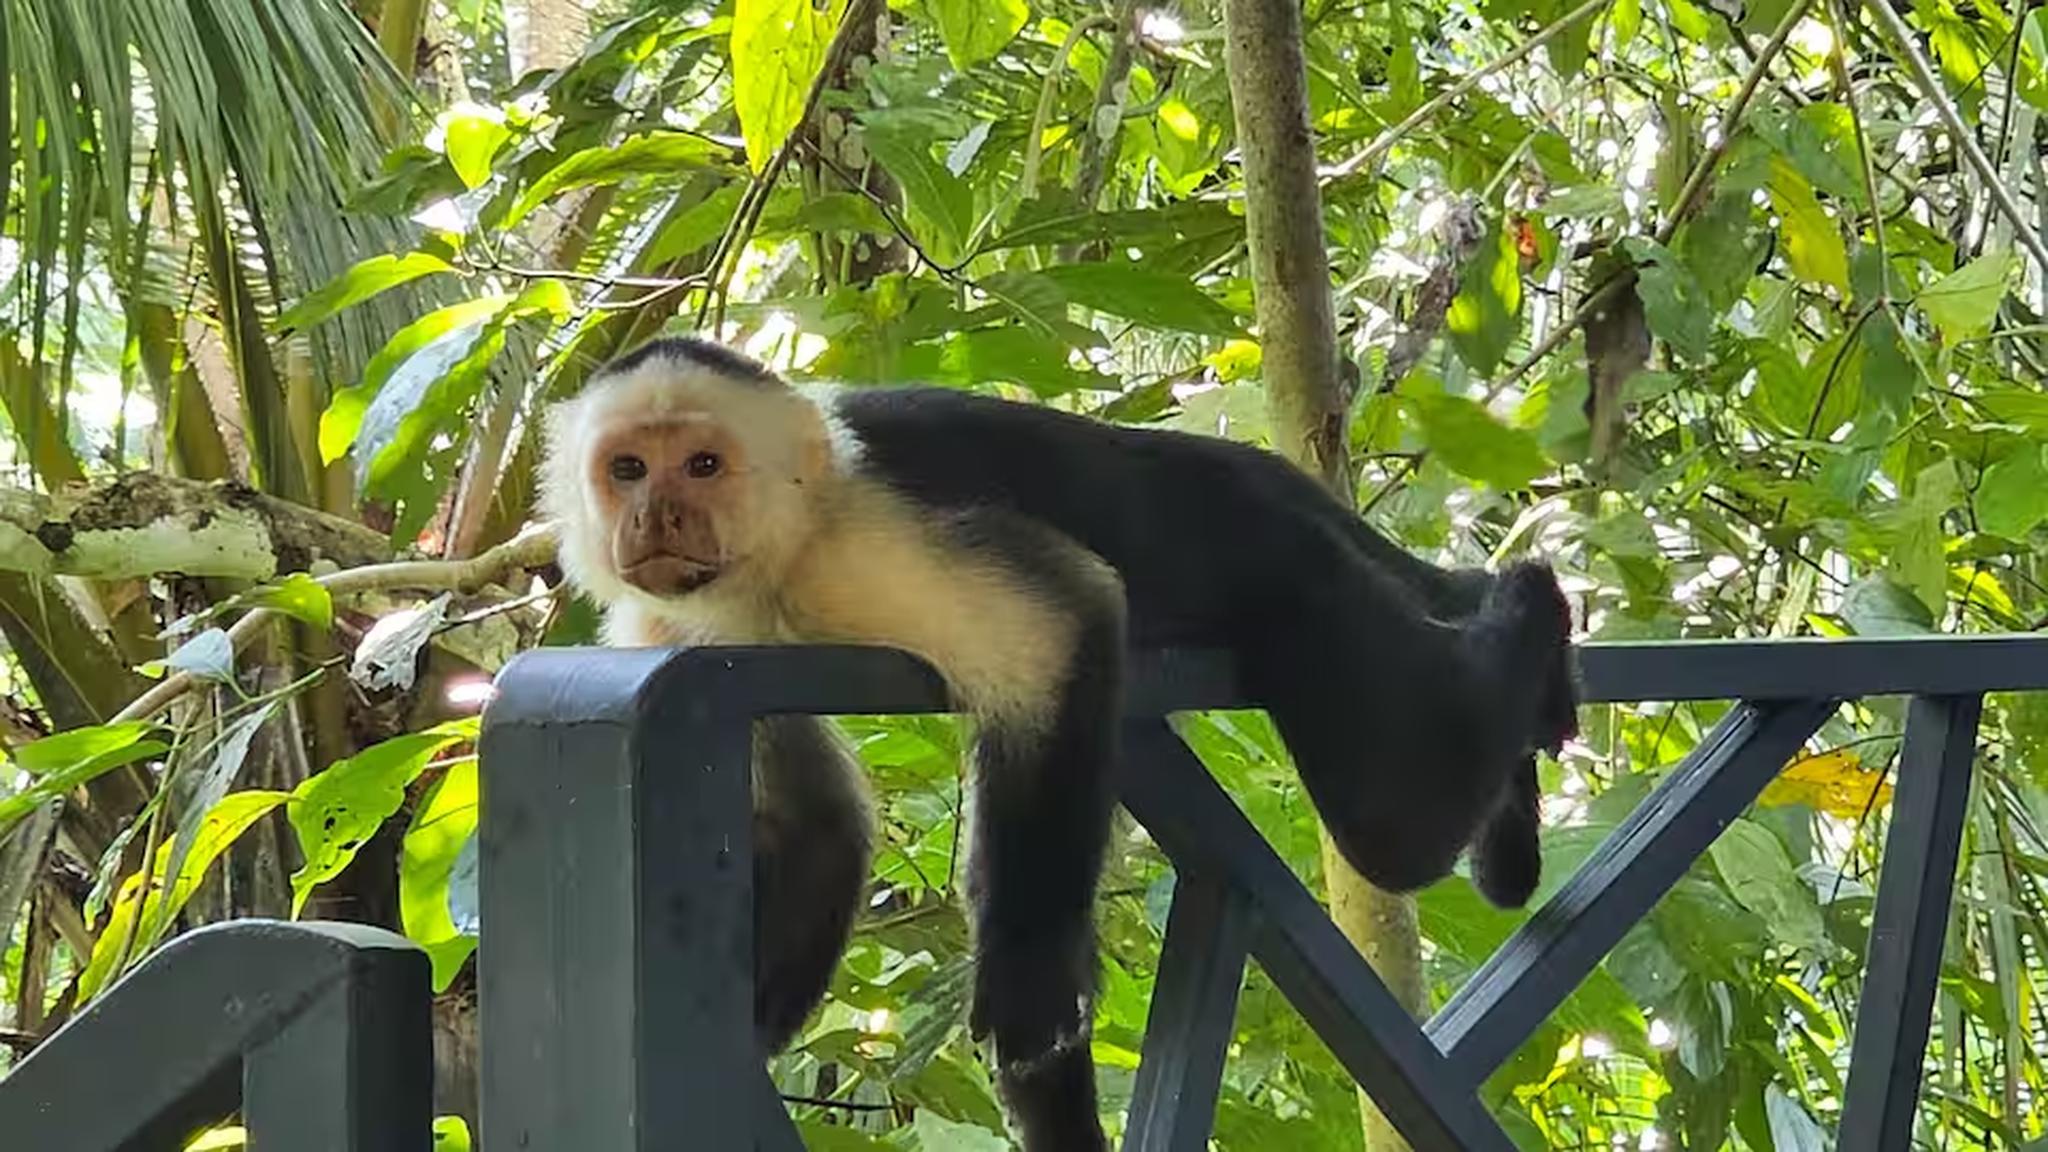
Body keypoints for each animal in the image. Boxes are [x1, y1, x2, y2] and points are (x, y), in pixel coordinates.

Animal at [537, 335, 1578, 1151]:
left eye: (702, 467)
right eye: (628, 471)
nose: (658, 517)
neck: (776, 556)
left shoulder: (863, 542)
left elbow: (1064, 629)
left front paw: (1030, 973)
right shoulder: (664, 627)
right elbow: (813, 819)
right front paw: (741, 1037)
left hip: (1260, 544)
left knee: (1389, 833)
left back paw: (1520, 614)